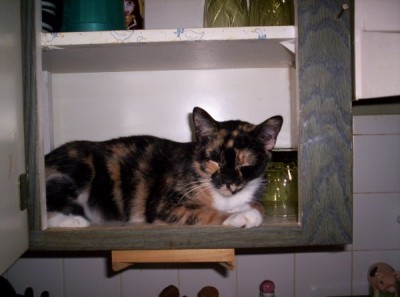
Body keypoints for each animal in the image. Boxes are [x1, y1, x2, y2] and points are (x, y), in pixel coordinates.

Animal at [45, 107, 282, 228]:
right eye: (215, 159)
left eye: (245, 164)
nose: (228, 182)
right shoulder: (163, 205)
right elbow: (201, 212)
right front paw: (239, 217)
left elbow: (258, 205)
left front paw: (247, 209)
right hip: (80, 168)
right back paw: (74, 220)